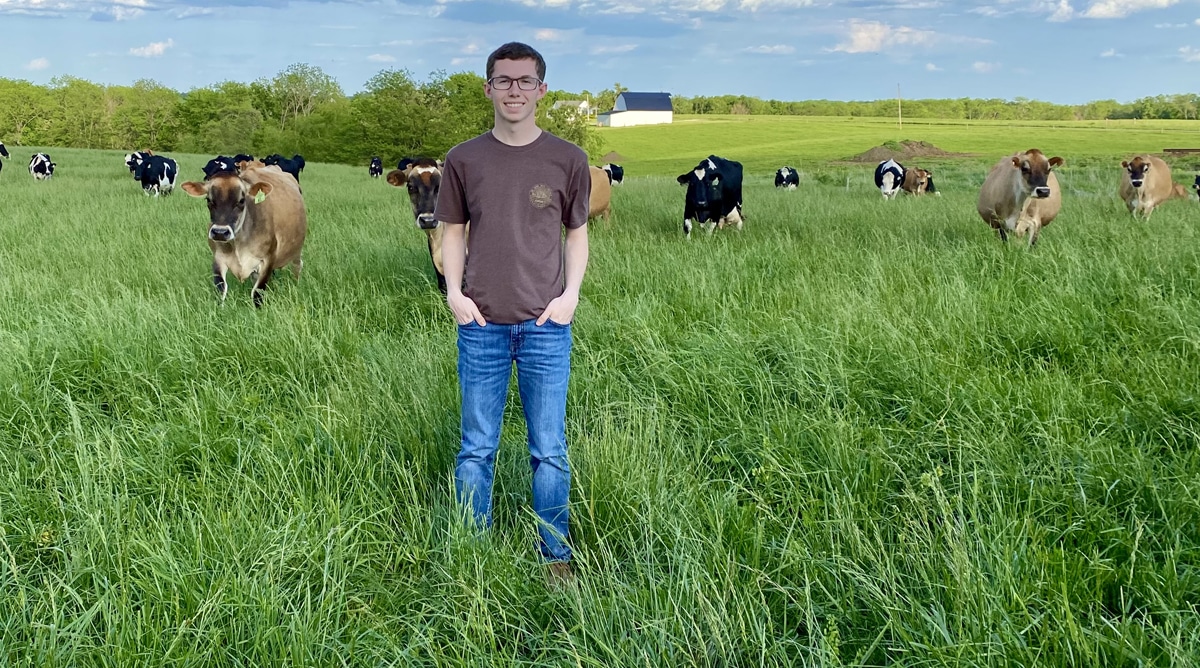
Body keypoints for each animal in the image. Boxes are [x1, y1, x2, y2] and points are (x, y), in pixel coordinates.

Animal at [181, 164, 307, 307]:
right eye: (209, 200)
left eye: (241, 201)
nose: (220, 232)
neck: (238, 244)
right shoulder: (218, 258)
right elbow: (221, 289)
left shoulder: (268, 259)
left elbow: (258, 292)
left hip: (297, 250)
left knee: (297, 266)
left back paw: (296, 283)